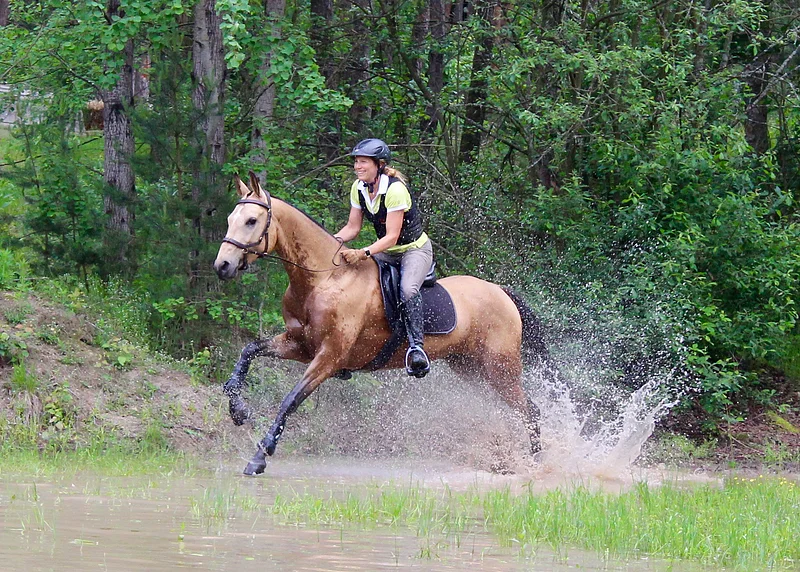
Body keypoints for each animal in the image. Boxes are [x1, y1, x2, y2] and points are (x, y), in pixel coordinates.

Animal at [213, 172, 553, 476]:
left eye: (251, 221)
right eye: (230, 219)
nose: (222, 266)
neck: (323, 279)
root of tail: (500, 291)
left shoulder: (329, 356)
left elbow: (291, 399)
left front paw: (260, 456)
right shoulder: (300, 345)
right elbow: (250, 350)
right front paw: (237, 409)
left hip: (500, 367)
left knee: (530, 409)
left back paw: (536, 463)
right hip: (470, 367)